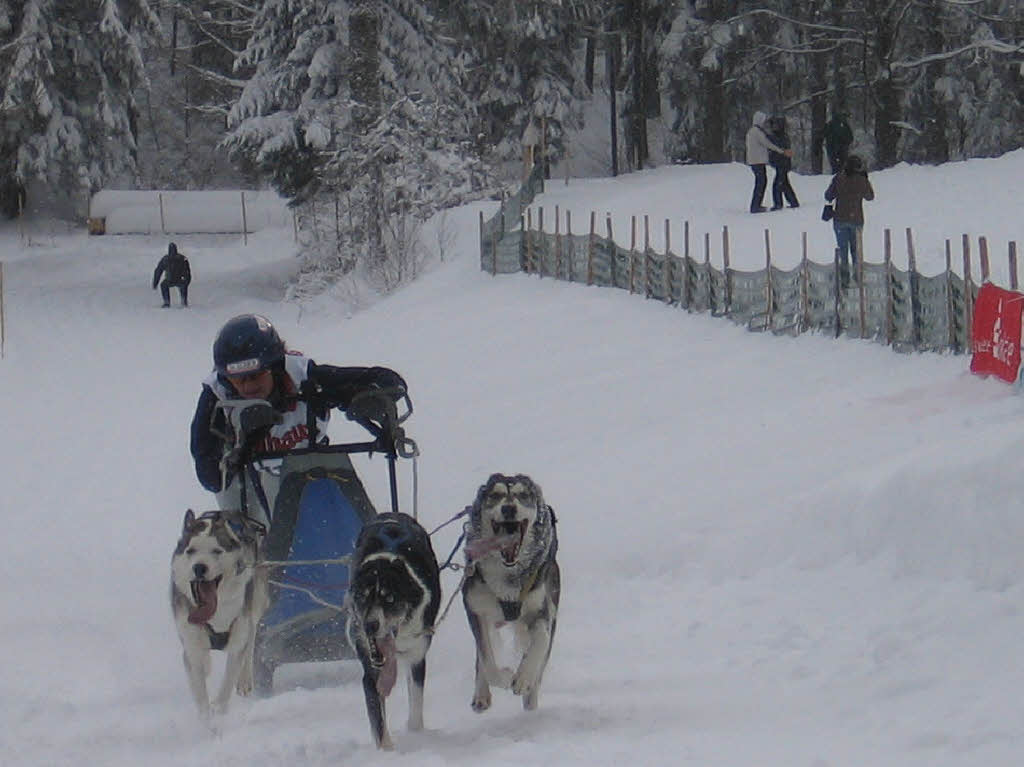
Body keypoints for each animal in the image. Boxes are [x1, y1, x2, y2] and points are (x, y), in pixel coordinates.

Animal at [167, 507, 266, 716]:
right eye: (191, 551)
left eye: (216, 551)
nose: (199, 567)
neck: (216, 613)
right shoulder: (191, 641)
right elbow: (199, 689)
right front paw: (206, 719)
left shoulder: (237, 637)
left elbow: (227, 682)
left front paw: (218, 713)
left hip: (257, 598)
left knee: (252, 633)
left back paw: (245, 679)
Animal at [348, 507, 440, 749]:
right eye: (362, 597)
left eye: (389, 598)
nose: (370, 625)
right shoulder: (371, 673)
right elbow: (378, 723)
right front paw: (386, 751)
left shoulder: (417, 657)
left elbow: (416, 707)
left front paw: (416, 735)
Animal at [462, 473, 561, 712]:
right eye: (495, 495)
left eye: (522, 495)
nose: (508, 508)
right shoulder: (475, 609)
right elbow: (486, 659)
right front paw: (506, 676)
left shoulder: (541, 611)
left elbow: (541, 640)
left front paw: (524, 678)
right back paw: (482, 694)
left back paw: (530, 699)